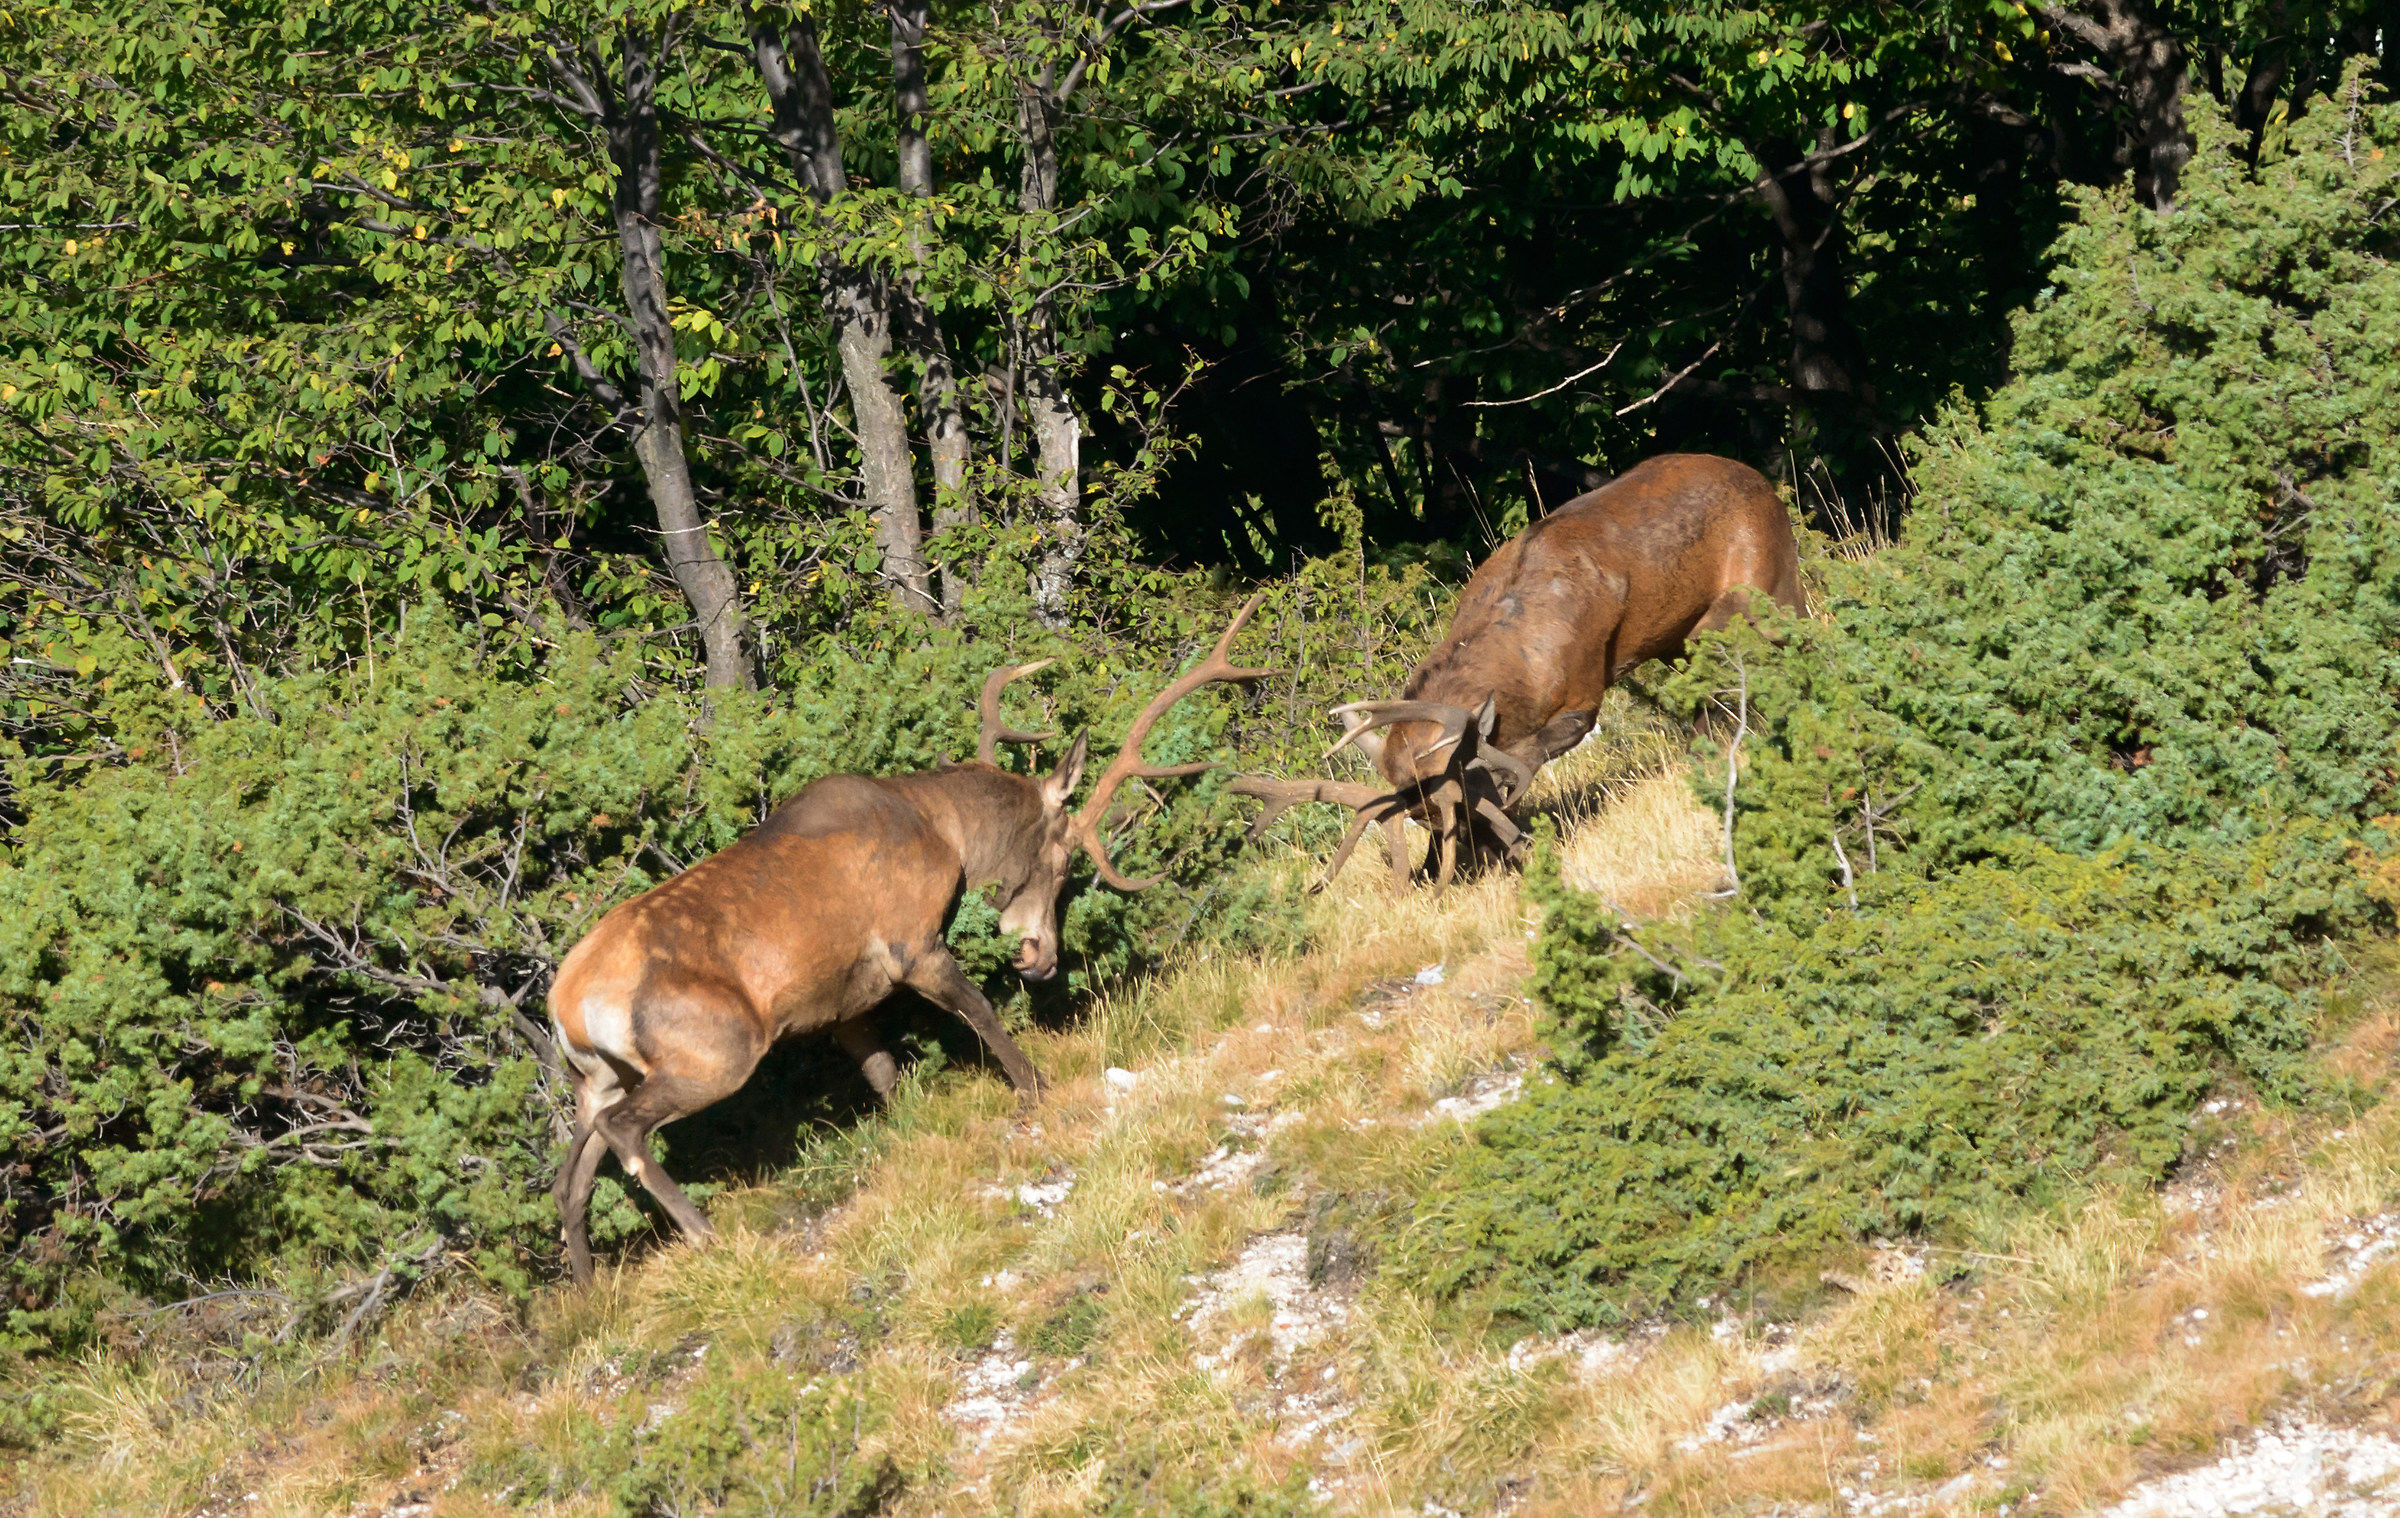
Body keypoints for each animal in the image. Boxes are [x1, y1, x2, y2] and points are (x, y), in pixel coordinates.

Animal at [545, 597, 1270, 1282]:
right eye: (1063, 862)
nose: (1041, 960)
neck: (944, 835)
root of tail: (569, 1004)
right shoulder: (910, 940)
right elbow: (976, 1008)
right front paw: (1034, 1084)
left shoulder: (843, 1000)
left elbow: (883, 1072)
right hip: (712, 1050)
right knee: (622, 1134)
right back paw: (704, 1235)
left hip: (597, 1077)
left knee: (568, 1178)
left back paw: (587, 1288)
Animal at [1233, 454, 1803, 889]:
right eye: (1423, 820)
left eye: (1468, 810)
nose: (1502, 859)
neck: (1521, 661)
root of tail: (1767, 485)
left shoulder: (1583, 690)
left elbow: (1529, 756)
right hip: (1679, 635)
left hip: (1765, 586)